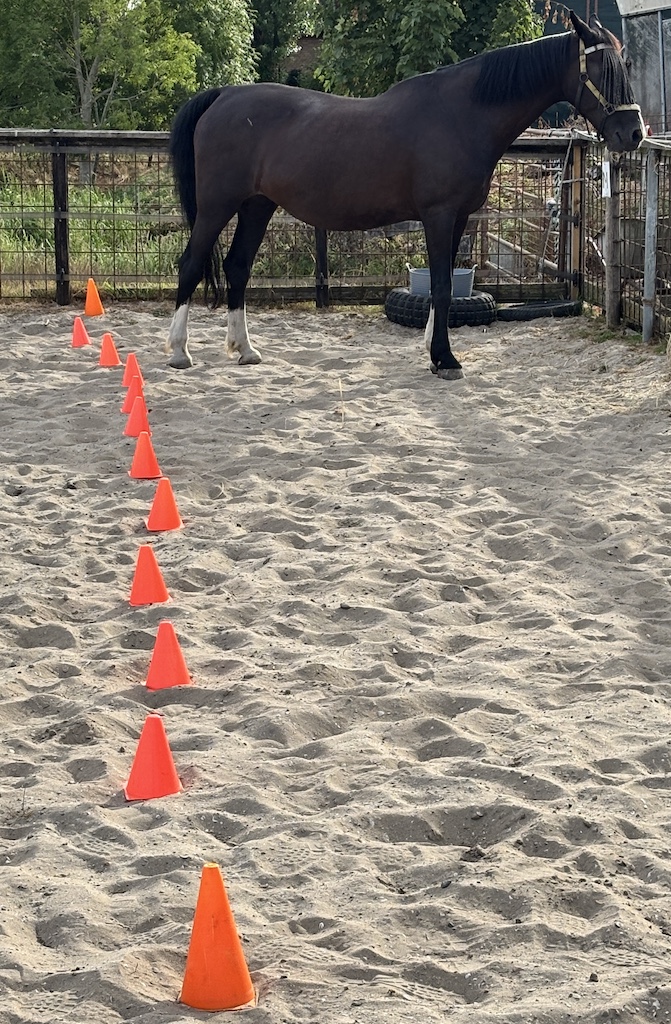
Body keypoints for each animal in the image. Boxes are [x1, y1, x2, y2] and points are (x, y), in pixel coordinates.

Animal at [167, 11, 644, 380]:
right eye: (602, 71)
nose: (634, 134)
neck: (462, 114)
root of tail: (223, 95)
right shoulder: (439, 214)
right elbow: (441, 287)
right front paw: (446, 359)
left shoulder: (460, 217)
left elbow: (442, 284)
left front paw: (435, 352)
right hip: (216, 206)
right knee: (190, 264)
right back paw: (179, 352)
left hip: (257, 205)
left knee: (238, 266)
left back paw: (245, 350)